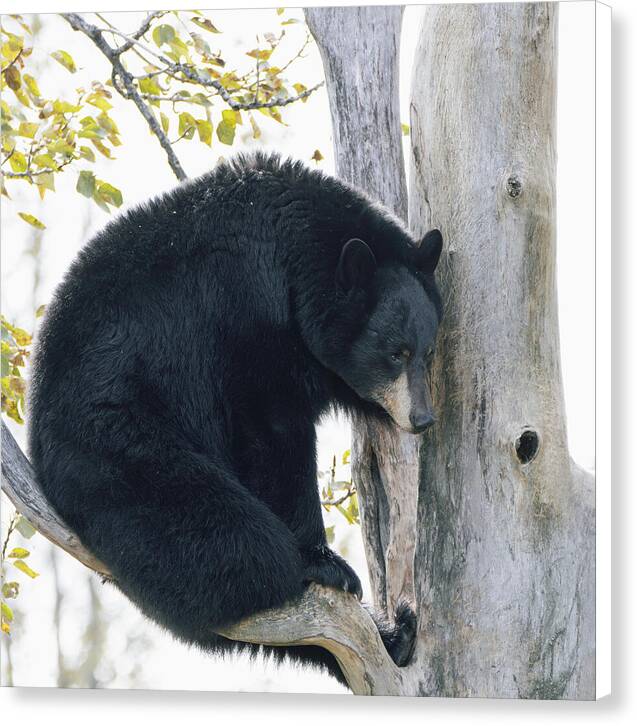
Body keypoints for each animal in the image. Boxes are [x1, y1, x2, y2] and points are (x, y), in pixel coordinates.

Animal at [27, 154, 440, 688]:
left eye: (426, 353)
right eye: (395, 353)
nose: (422, 419)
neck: (294, 260)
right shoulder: (245, 314)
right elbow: (271, 433)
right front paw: (323, 559)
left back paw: (396, 635)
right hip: (117, 443)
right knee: (232, 539)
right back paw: (293, 570)